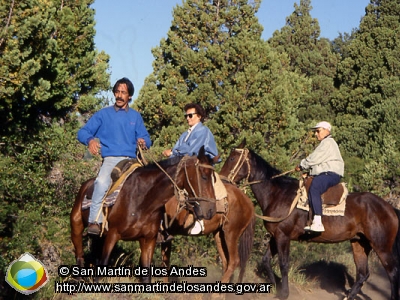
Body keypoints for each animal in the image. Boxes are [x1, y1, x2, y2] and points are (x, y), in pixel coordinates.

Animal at [70, 146, 217, 282]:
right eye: (204, 176)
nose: (211, 210)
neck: (142, 200)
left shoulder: (148, 239)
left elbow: (146, 275)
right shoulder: (112, 234)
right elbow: (102, 267)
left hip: (99, 237)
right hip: (77, 228)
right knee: (79, 256)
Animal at [219, 140, 400, 300]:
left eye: (232, 158)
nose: (223, 180)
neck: (277, 194)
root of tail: (390, 208)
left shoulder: (283, 236)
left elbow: (283, 264)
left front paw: (284, 293)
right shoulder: (275, 236)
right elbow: (266, 261)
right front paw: (276, 286)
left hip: (381, 246)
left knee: (392, 272)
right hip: (359, 243)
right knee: (363, 273)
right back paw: (348, 296)